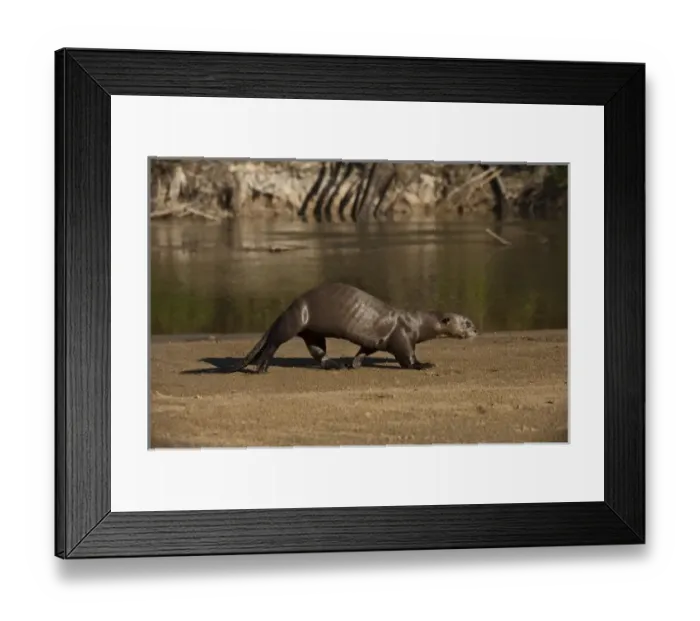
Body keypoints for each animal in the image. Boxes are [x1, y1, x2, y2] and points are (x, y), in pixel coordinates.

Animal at [231, 282, 478, 373]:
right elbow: (407, 358)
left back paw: (336, 364)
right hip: (297, 319)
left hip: (312, 332)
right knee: (275, 341)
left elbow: (364, 350)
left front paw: (354, 363)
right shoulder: (402, 335)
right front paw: (423, 364)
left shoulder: (377, 340)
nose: (476, 330)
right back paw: (262, 367)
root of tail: (289, 307)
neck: (417, 323)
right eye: (466, 323)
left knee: (317, 351)